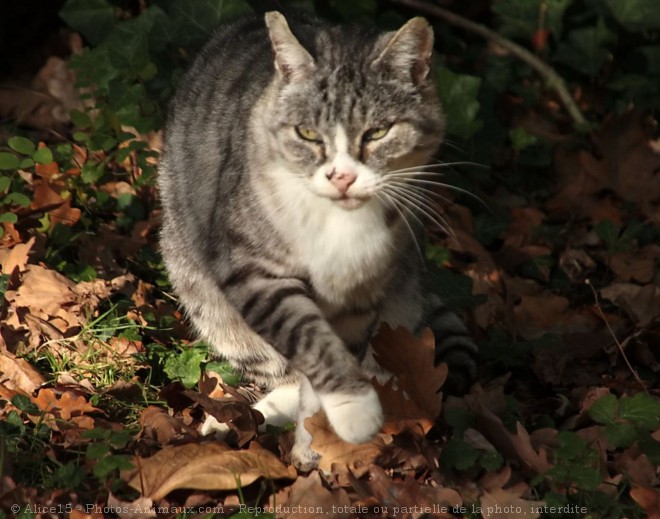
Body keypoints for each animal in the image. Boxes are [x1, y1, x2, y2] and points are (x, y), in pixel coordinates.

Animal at [160, 9, 480, 472]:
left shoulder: (361, 294)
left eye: (378, 132)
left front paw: (319, 438)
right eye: (308, 134)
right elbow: (308, 340)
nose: (342, 176)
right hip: (201, 290)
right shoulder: (254, 271)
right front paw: (350, 412)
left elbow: (331, 361)